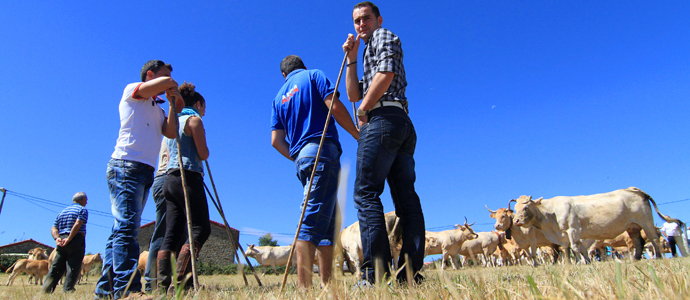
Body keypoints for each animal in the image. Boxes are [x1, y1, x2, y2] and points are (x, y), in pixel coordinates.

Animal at [512, 188, 676, 262]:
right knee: (638, 242)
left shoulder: (573, 229)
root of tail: (633, 189)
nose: (516, 221)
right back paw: (635, 259)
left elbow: (576, 248)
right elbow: (571, 250)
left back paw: (659, 257)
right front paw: (582, 262)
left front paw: (583, 262)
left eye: (526, 207)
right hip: (632, 226)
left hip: (646, 221)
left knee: (653, 238)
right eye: (515, 208)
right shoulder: (564, 236)